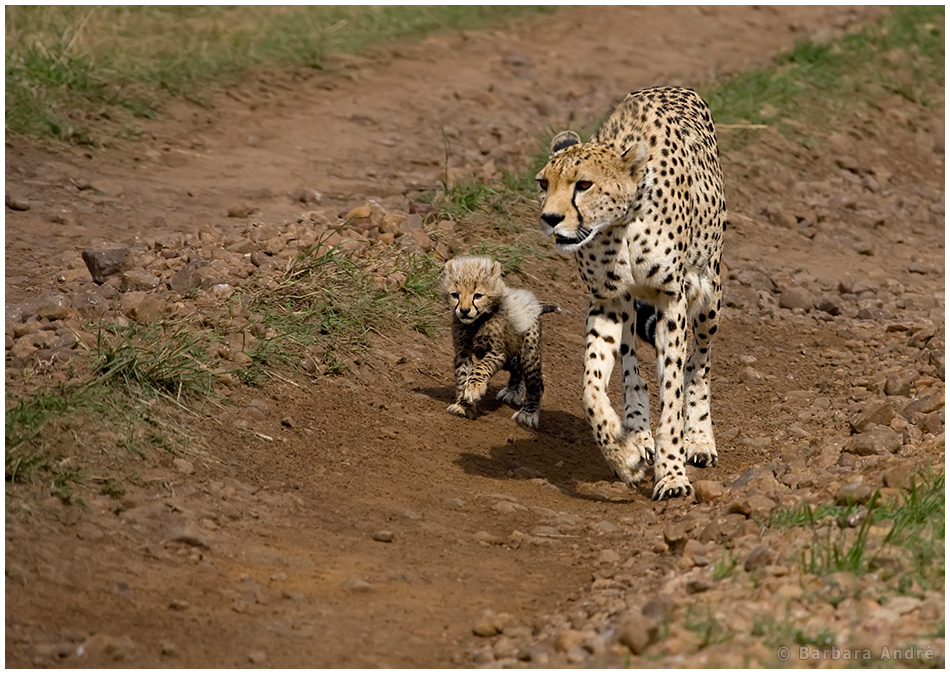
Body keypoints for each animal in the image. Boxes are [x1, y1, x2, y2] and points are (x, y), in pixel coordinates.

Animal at [536, 85, 728, 498]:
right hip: (627, 306)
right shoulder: (607, 300)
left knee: (699, 363)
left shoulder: (673, 299)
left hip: (709, 295)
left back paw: (700, 439)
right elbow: (591, 388)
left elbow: (673, 392)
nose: (550, 219)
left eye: (584, 184)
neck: (621, 223)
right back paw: (638, 434)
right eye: (544, 184)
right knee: (630, 366)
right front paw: (624, 455)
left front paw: (672, 474)